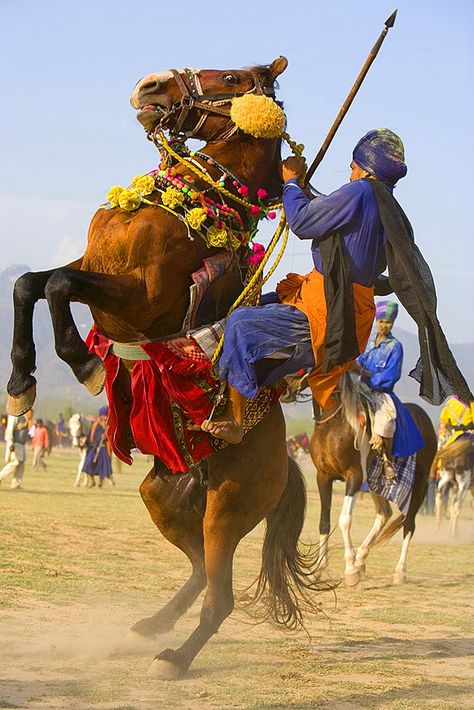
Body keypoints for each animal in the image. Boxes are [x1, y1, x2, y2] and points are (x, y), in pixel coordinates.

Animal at [5, 58, 328, 680]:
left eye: (232, 78)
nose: (149, 86)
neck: (191, 198)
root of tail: (286, 461)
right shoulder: (96, 267)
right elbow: (30, 283)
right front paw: (21, 382)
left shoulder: (136, 298)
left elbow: (57, 286)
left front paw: (81, 360)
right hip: (164, 494)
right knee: (200, 571)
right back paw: (153, 626)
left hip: (229, 505)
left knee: (220, 593)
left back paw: (174, 658)